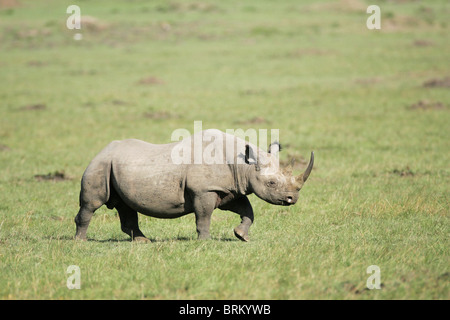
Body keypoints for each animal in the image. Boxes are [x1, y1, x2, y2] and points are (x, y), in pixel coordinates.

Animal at [74, 129, 312, 241]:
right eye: (271, 183)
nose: (292, 199)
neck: (242, 165)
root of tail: (102, 150)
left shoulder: (228, 189)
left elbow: (248, 211)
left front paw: (241, 235)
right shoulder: (204, 190)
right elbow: (203, 216)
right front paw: (205, 240)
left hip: (116, 166)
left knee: (125, 205)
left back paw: (143, 242)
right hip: (101, 164)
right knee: (92, 203)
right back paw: (80, 242)